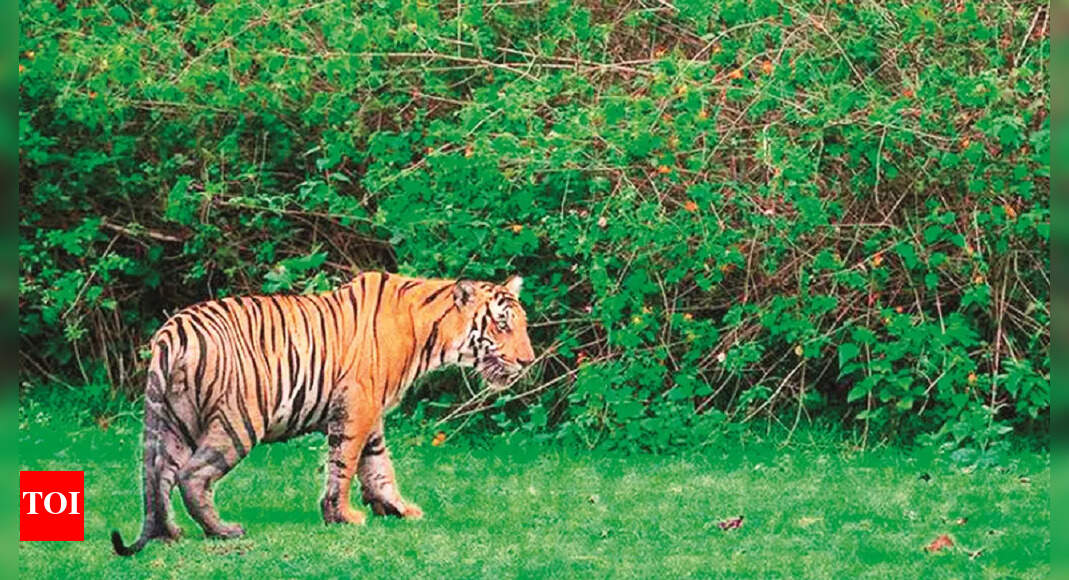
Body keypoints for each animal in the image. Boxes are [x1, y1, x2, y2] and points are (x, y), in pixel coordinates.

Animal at [112, 272, 534, 556]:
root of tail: (172, 330)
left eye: (522, 324)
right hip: (239, 419)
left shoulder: (372, 411)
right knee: (192, 475)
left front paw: (396, 508)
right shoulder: (358, 404)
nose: (528, 361)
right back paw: (224, 531)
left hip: (175, 421)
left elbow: (378, 464)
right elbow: (345, 462)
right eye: (501, 325)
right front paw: (342, 516)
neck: (432, 333)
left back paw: (170, 534)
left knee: (159, 475)